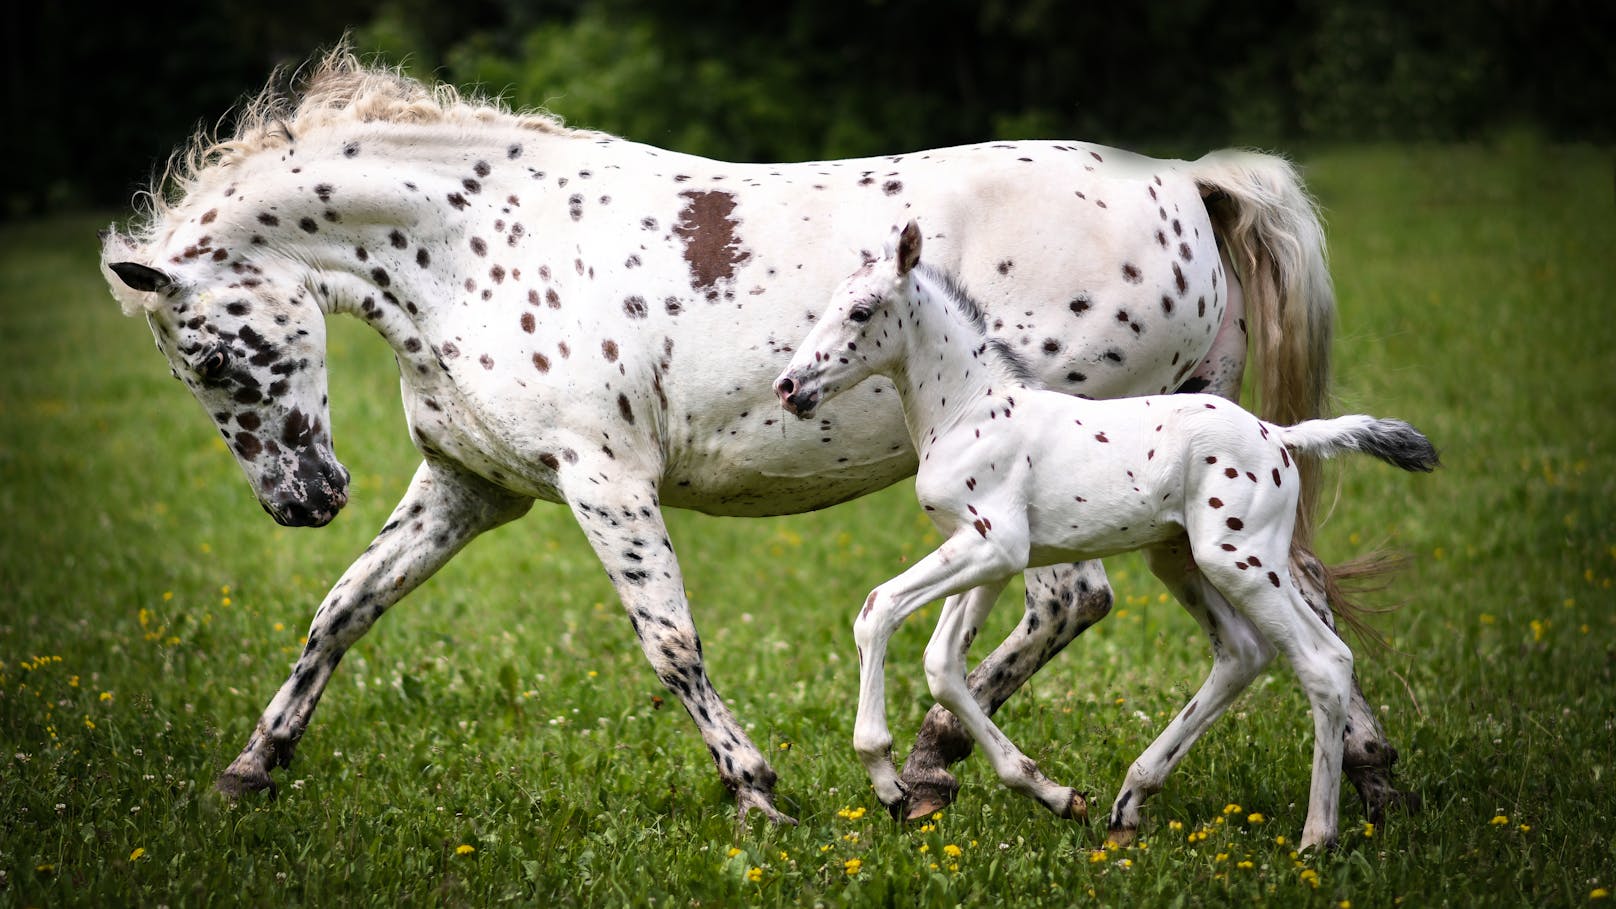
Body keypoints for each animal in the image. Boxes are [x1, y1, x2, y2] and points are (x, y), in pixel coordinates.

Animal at [772, 221, 1441, 847]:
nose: (788, 387)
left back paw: (1315, 839)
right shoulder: (988, 557)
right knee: (1243, 653)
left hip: (1241, 560)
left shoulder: (992, 545)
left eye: (861, 311)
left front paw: (889, 784)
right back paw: (1130, 801)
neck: (969, 410)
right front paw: (1053, 794)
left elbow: (877, 609)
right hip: (1179, 559)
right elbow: (943, 665)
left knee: (1323, 662)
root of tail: (1279, 436)